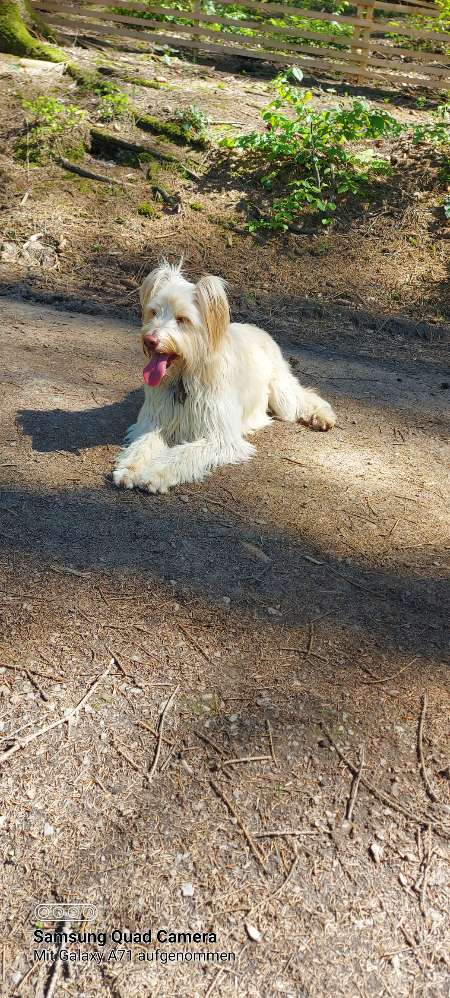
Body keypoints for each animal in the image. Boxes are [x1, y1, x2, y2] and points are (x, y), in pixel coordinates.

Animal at [114, 260, 336, 490]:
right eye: (153, 312)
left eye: (182, 319)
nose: (149, 340)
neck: (186, 376)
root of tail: (258, 328)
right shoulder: (155, 422)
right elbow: (143, 444)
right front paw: (130, 468)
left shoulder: (220, 437)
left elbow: (185, 453)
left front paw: (156, 473)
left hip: (281, 394)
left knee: (304, 396)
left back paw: (322, 416)